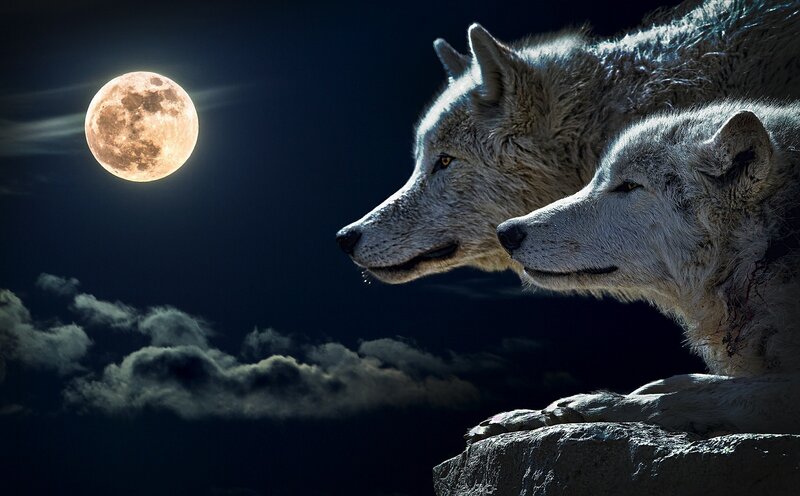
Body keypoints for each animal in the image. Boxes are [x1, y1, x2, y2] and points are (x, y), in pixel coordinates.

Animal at [466, 101, 800, 442]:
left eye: (628, 186)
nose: (506, 232)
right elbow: (688, 382)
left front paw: (586, 406)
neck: (764, 252)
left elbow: (684, 399)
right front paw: (524, 416)